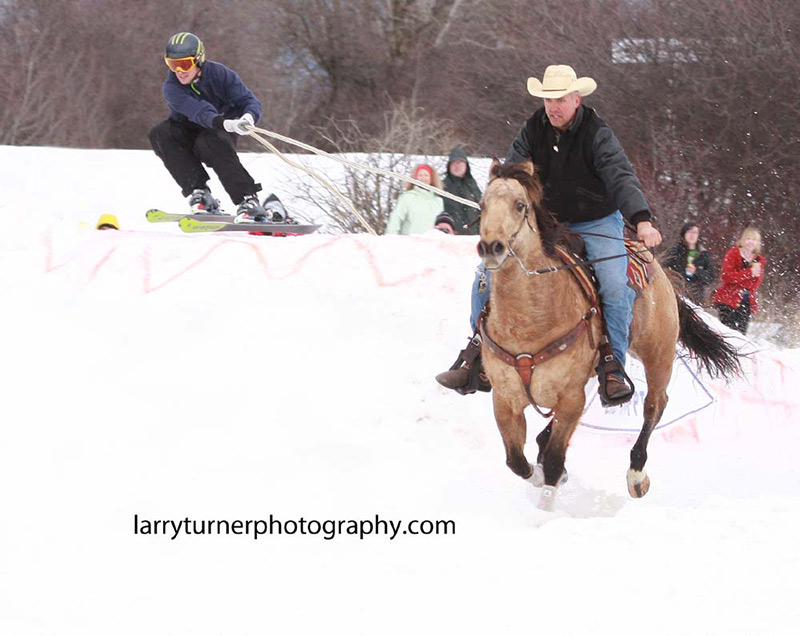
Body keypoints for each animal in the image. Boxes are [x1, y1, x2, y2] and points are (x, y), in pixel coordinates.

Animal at [478, 160, 740, 512]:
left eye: (520, 205)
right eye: (482, 205)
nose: (491, 247)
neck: (530, 321)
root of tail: (658, 267)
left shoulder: (571, 397)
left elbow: (554, 461)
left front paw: (545, 507)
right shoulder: (505, 398)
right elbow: (516, 461)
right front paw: (540, 475)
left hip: (658, 354)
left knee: (655, 405)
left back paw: (637, 475)